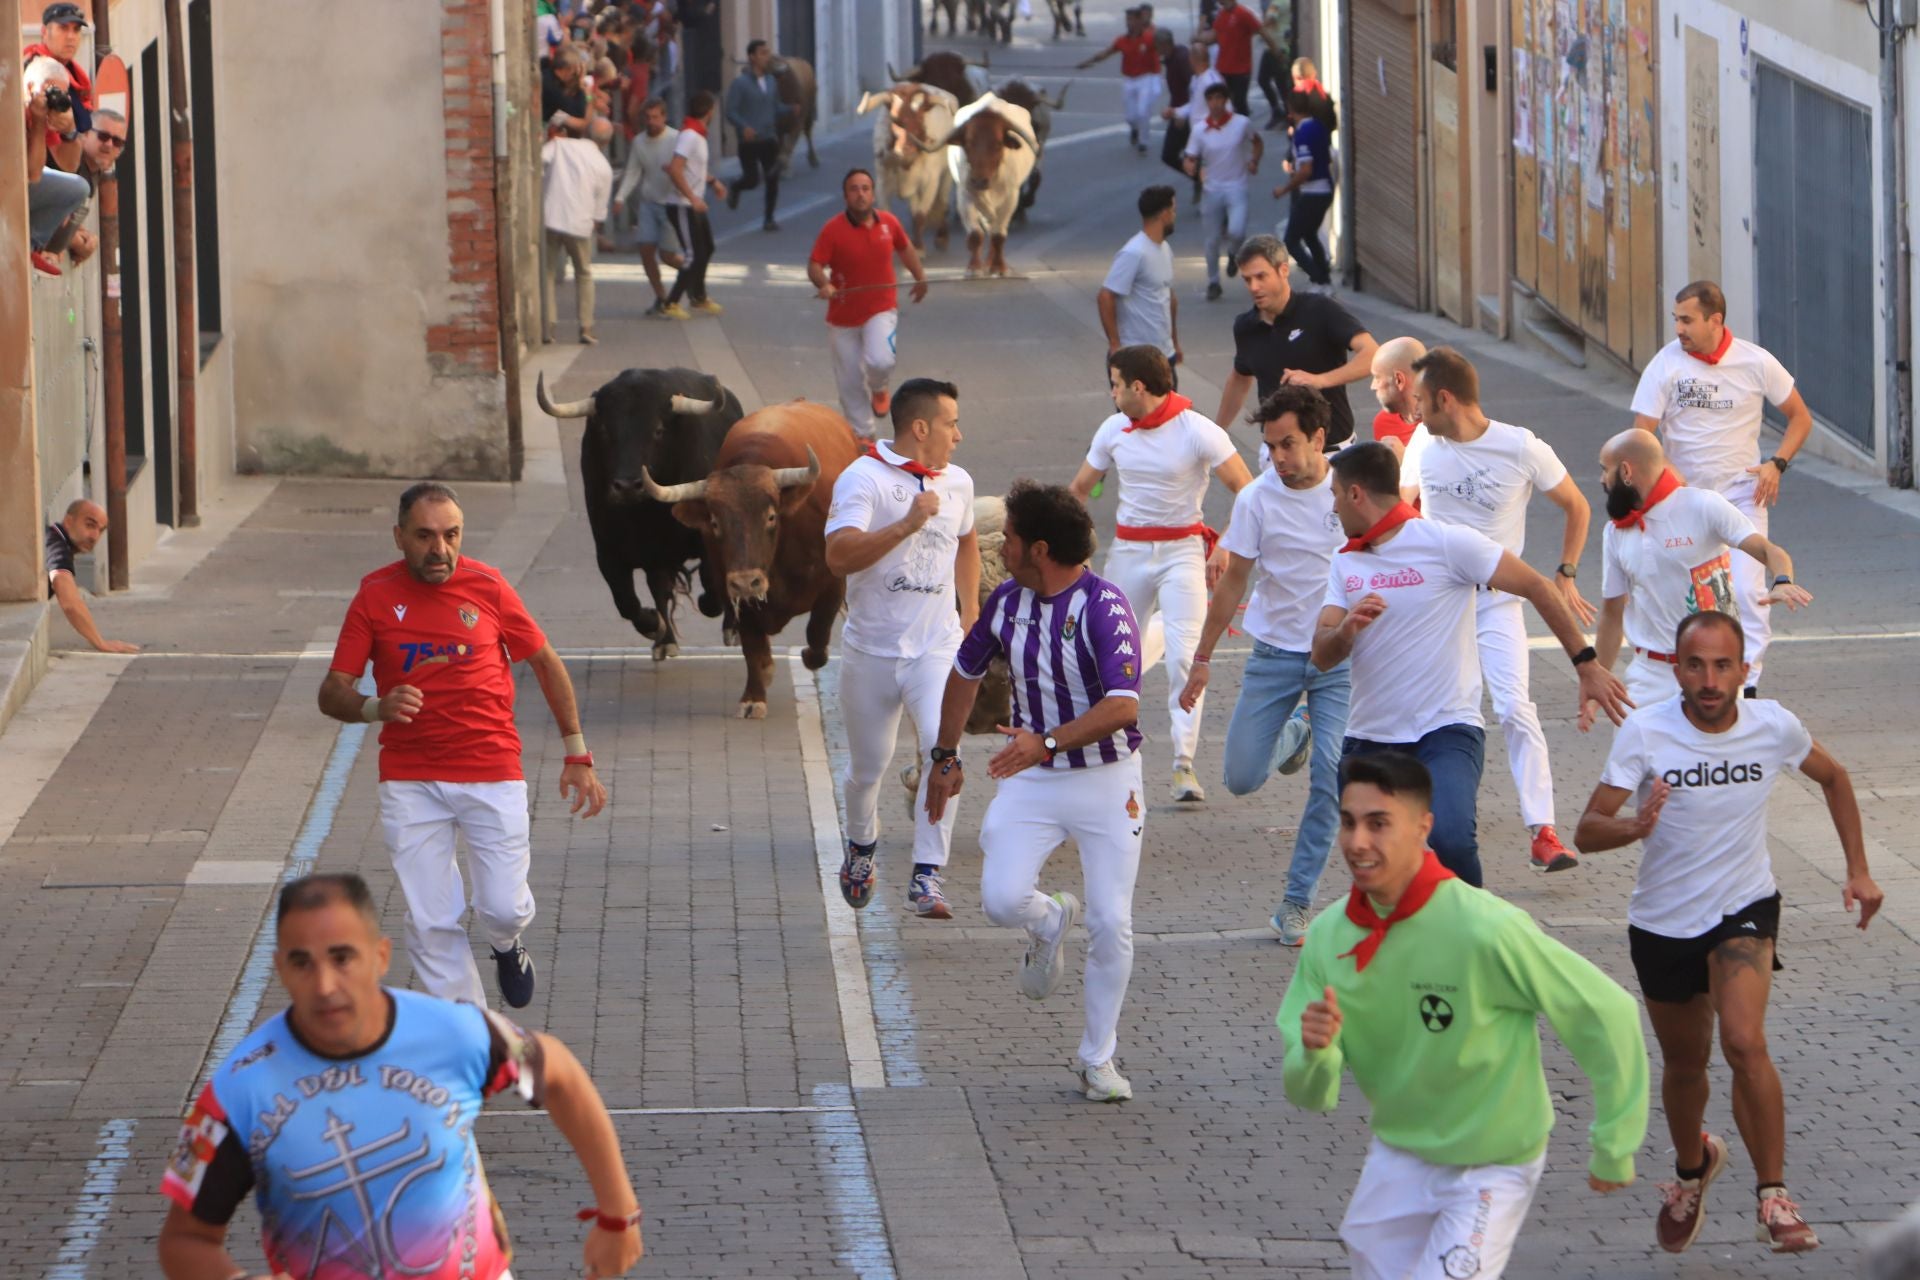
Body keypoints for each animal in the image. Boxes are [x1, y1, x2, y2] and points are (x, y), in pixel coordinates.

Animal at [549, 364, 748, 656]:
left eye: (658, 430)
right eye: (605, 430)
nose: (627, 486)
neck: (646, 514)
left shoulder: (709, 538)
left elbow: (713, 583)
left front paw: (718, 614)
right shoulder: (609, 551)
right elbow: (627, 601)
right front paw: (655, 625)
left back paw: (731, 628)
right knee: (658, 588)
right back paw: (666, 642)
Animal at [641, 402, 860, 721]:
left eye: (770, 516)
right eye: (715, 523)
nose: (747, 581)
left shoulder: (832, 585)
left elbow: (817, 634)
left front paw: (808, 655)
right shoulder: (732, 593)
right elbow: (753, 650)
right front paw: (754, 695)